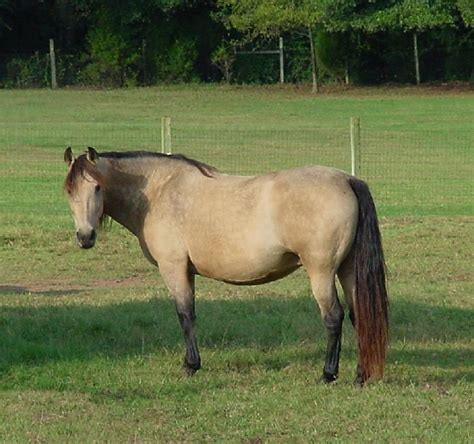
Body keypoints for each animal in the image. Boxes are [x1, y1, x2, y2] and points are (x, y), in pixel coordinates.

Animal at [64, 147, 388, 384]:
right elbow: (190, 314)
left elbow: (185, 315)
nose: (85, 236)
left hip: (321, 272)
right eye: (69, 191)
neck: (159, 192)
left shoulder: (173, 268)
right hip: (347, 270)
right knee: (359, 315)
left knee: (333, 317)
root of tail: (347, 180)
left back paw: (327, 374)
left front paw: (191, 365)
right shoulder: (187, 272)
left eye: (97, 188)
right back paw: (361, 375)